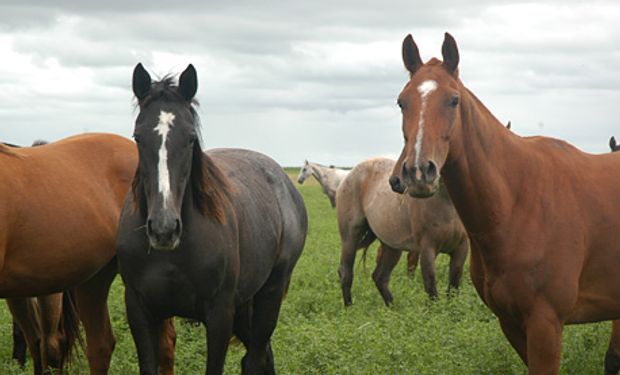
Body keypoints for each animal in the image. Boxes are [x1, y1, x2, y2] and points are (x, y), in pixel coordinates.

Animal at [117, 63, 308, 374]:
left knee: (256, 357)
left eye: (190, 138)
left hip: (270, 293)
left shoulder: (219, 315)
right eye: (138, 137)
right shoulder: (139, 310)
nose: (164, 229)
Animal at [340, 156, 464, 306]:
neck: (446, 203)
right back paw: (349, 308)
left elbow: (454, 287)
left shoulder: (461, 249)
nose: (396, 183)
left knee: (380, 277)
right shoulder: (427, 250)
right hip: (350, 238)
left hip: (392, 247)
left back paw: (393, 308)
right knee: (346, 272)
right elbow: (431, 287)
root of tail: (349, 174)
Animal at [390, 33, 620, 375]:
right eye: (402, 101)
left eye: (453, 100)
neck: (518, 202)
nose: (418, 172)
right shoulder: (510, 323)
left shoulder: (545, 324)